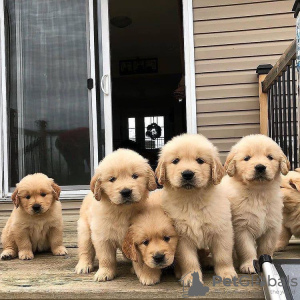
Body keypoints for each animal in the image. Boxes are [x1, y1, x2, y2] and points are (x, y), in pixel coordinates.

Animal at [74, 149, 157, 282]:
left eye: (135, 176)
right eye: (112, 179)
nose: (126, 192)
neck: (122, 211)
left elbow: (138, 259)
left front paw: (143, 272)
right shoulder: (102, 237)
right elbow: (106, 258)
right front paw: (105, 272)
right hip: (85, 231)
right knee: (85, 250)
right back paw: (83, 265)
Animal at [155, 134, 237, 286]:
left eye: (200, 160)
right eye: (176, 161)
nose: (187, 174)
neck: (192, 200)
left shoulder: (221, 232)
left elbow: (223, 256)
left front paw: (226, 273)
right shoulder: (182, 238)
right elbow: (189, 260)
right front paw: (191, 277)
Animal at [221, 135, 290, 274]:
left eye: (270, 157)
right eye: (247, 158)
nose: (260, 167)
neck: (258, 193)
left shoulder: (271, 227)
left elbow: (266, 248)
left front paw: (266, 263)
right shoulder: (242, 228)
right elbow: (246, 249)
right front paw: (249, 265)